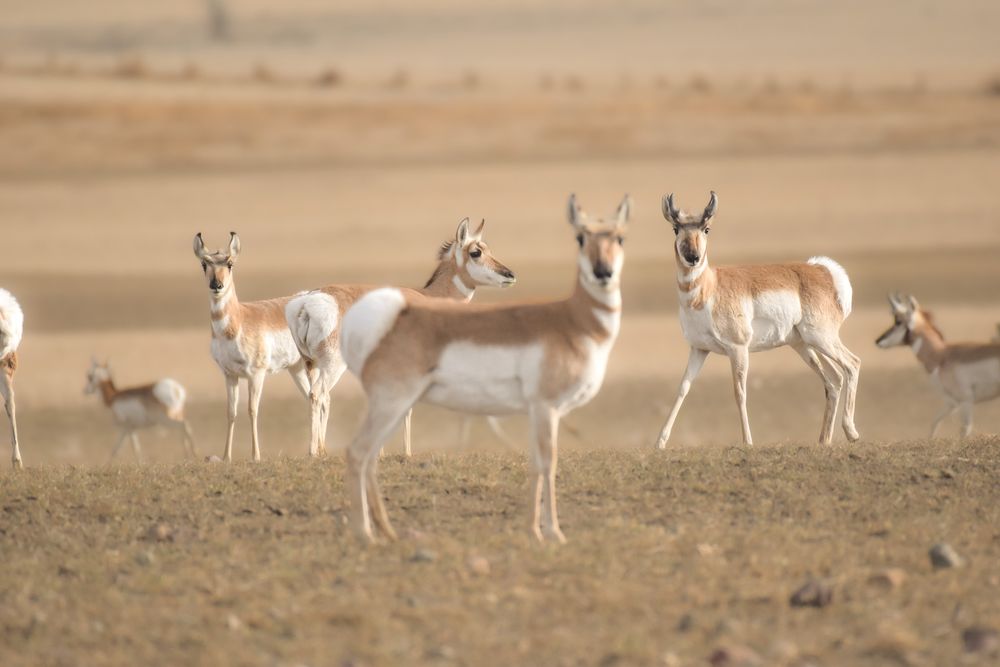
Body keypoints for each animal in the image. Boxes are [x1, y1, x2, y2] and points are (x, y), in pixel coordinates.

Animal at [194, 232, 312, 462]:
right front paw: (226, 457)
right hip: (297, 369)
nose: (216, 285)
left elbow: (252, 409)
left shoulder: (256, 374)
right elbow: (231, 412)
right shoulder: (230, 375)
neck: (238, 320)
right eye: (204, 264)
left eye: (230, 263)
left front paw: (255, 455)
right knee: (313, 398)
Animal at [284, 218, 515, 458]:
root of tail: (308, 302)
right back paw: (316, 451)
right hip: (333, 365)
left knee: (314, 395)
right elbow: (406, 406)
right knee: (319, 394)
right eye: (476, 252)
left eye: (489, 248)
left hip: (310, 364)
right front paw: (407, 453)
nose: (509, 275)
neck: (429, 297)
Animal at [655, 191, 861, 448]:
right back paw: (824, 441)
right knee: (833, 379)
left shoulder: (738, 349)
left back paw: (851, 432)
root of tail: (822, 270)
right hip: (804, 345)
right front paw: (660, 442)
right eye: (676, 228)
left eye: (706, 229)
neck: (709, 287)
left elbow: (740, 392)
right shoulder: (699, 349)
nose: (693, 257)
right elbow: (683, 388)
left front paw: (748, 441)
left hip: (821, 339)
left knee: (852, 364)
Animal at [876, 293, 1000, 438]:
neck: (941, 354)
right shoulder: (951, 403)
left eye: (898, 321)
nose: (878, 341)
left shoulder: (966, 401)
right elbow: (934, 423)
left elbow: (964, 430)